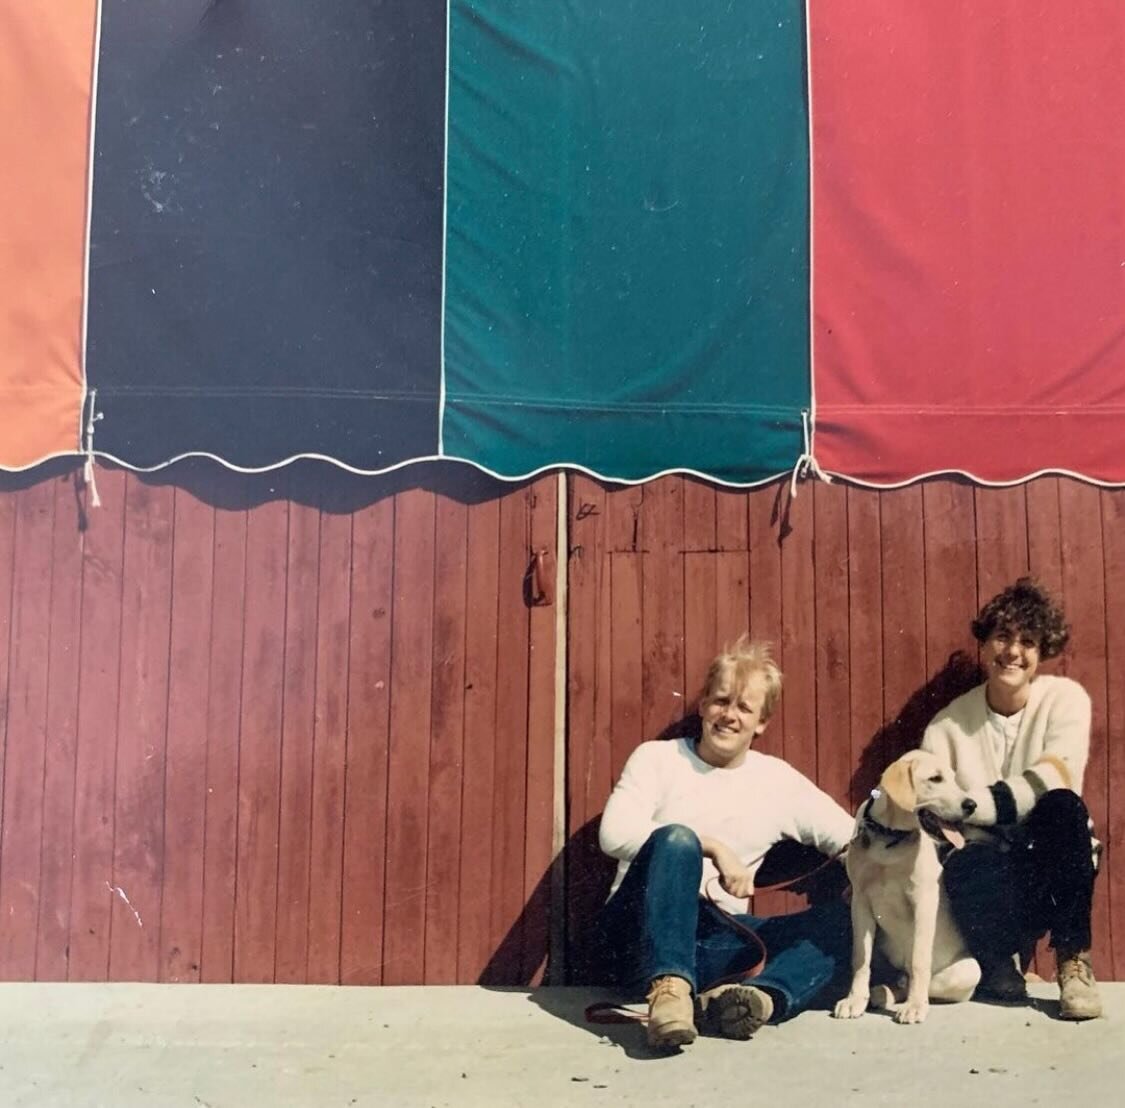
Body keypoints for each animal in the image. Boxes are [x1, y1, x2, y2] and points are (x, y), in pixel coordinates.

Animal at [832, 746, 981, 1025]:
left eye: (954, 779)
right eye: (935, 779)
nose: (972, 805)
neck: (889, 838)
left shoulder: (923, 900)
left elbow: (919, 961)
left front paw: (915, 1006)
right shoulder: (860, 902)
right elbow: (860, 959)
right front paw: (855, 1000)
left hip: (969, 970)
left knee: (919, 978)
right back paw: (882, 992)